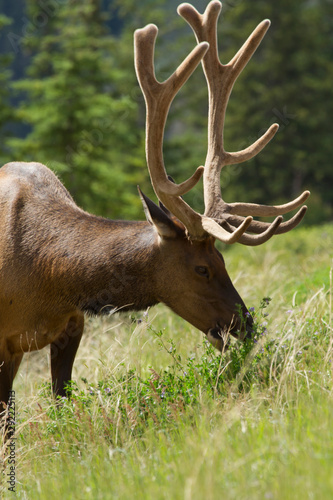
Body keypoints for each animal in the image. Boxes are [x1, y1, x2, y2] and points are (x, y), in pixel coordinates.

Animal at [0, 0, 308, 422]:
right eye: (202, 268)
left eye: (224, 260)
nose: (246, 327)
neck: (51, 278)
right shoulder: (3, 343)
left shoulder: (72, 326)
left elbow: (61, 400)